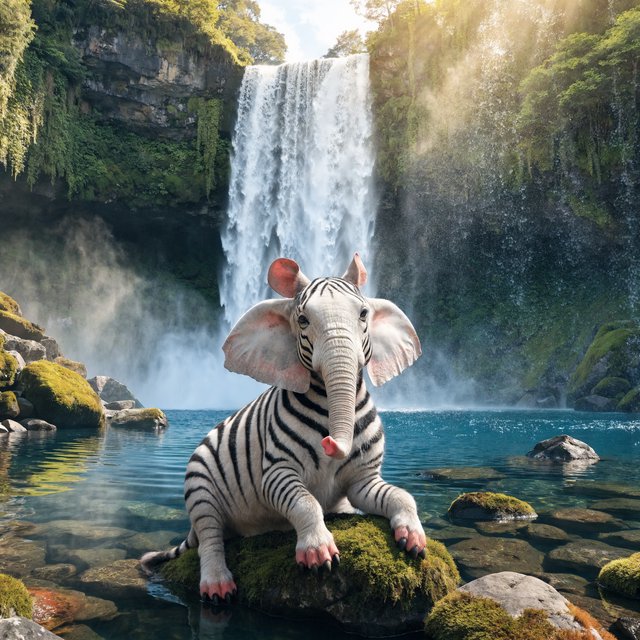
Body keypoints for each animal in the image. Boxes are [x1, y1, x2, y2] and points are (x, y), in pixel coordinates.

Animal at [141, 253, 426, 604]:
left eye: (363, 315)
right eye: (302, 321)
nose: (330, 442)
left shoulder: (363, 480)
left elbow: (401, 496)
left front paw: (413, 534)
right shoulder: (275, 472)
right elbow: (304, 502)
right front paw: (317, 550)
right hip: (199, 485)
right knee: (210, 537)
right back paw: (217, 585)